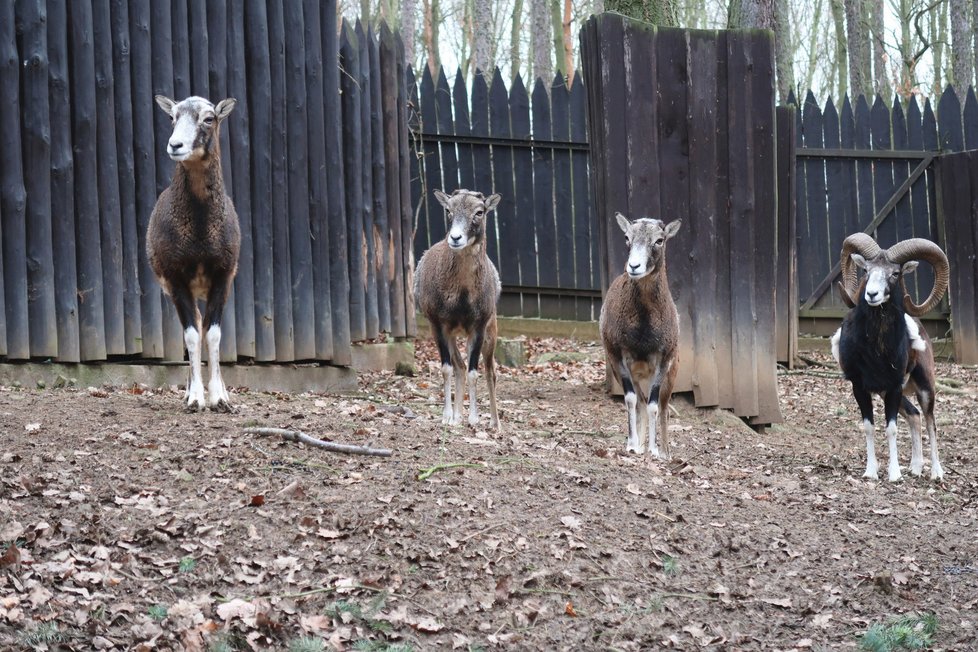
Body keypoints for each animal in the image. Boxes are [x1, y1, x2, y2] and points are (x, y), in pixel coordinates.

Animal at [148, 95, 241, 412]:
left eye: (209, 118)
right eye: (173, 117)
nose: (175, 145)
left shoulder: (223, 276)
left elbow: (213, 334)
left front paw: (219, 399)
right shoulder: (176, 279)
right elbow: (191, 335)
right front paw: (196, 399)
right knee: (192, 330)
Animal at [414, 190, 500, 428]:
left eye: (479, 212)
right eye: (448, 210)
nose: (455, 238)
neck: (461, 298)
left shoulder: (478, 327)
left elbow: (474, 372)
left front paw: (474, 419)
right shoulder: (438, 325)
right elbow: (448, 368)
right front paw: (447, 417)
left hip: (491, 332)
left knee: (490, 371)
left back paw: (495, 423)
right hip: (452, 335)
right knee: (459, 366)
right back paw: (457, 417)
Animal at [596, 211, 680, 456]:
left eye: (659, 240)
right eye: (627, 237)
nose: (634, 266)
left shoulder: (664, 360)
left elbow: (653, 406)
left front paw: (654, 450)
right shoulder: (618, 358)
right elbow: (632, 400)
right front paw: (633, 445)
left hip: (670, 374)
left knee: (663, 407)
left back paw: (665, 452)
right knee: (641, 402)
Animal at [832, 232, 944, 482]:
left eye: (895, 273)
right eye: (866, 270)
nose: (872, 294)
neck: (875, 351)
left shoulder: (894, 386)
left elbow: (891, 428)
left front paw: (894, 475)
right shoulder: (860, 387)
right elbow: (869, 427)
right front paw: (871, 473)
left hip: (925, 388)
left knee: (930, 422)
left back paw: (936, 473)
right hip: (890, 394)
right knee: (914, 415)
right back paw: (915, 468)